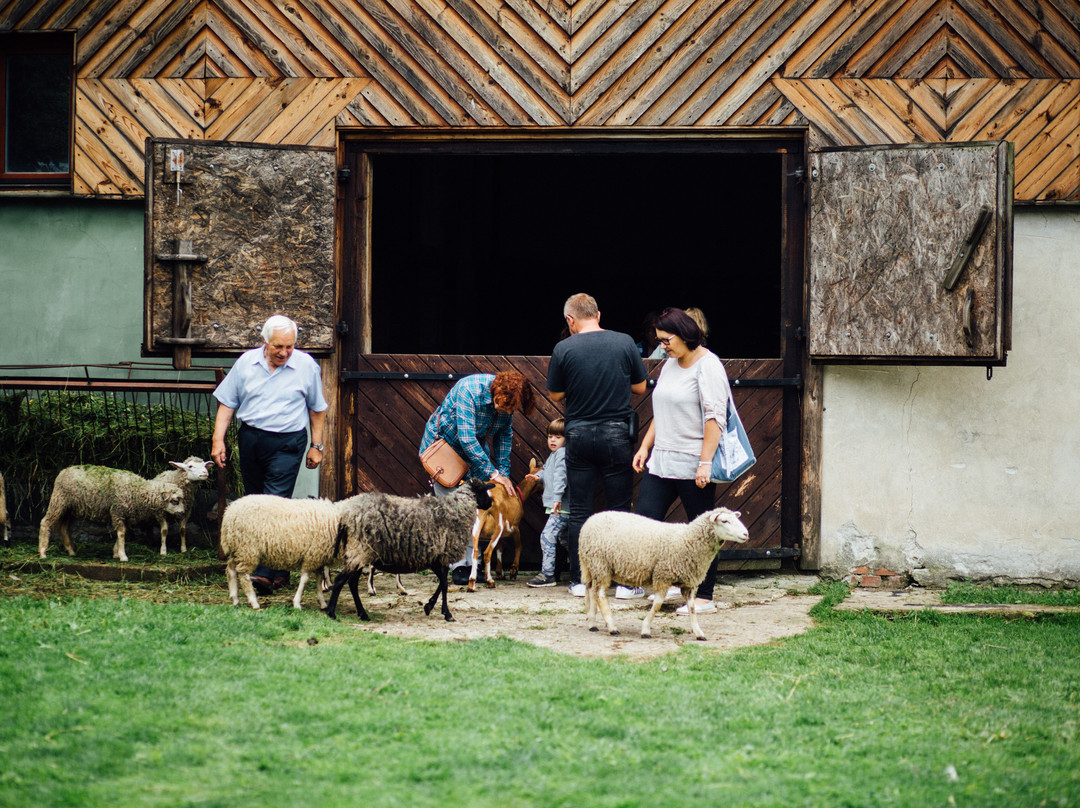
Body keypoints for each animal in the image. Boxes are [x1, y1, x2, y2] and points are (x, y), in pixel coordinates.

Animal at [37, 464, 185, 566]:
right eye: (175, 501)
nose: (183, 512)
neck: (137, 491)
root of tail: (63, 471)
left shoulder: (125, 515)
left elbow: (121, 533)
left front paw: (116, 553)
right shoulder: (117, 511)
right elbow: (121, 534)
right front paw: (123, 556)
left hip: (70, 508)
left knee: (63, 527)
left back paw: (71, 551)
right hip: (59, 500)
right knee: (45, 522)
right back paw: (43, 552)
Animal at [326, 479, 494, 626]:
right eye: (484, 491)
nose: (491, 503)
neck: (458, 509)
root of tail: (346, 515)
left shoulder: (435, 559)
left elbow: (442, 583)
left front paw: (429, 606)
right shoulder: (442, 557)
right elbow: (445, 585)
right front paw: (447, 614)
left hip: (359, 554)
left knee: (352, 583)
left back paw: (362, 614)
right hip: (360, 550)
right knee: (340, 580)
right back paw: (331, 613)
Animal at [468, 458, 544, 591]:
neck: (518, 495)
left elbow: (500, 548)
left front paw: (500, 573)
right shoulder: (514, 527)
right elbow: (519, 546)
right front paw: (513, 570)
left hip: (477, 524)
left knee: (475, 552)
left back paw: (472, 583)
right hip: (499, 525)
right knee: (487, 553)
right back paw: (489, 581)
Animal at [578, 507, 747, 639]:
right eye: (724, 521)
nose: (746, 534)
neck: (687, 540)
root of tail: (589, 521)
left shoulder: (689, 582)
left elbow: (692, 608)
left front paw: (699, 633)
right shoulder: (662, 575)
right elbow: (658, 604)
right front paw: (645, 629)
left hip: (592, 565)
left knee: (591, 590)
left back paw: (592, 623)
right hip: (601, 564)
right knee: (599, 594)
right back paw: (612, 627)